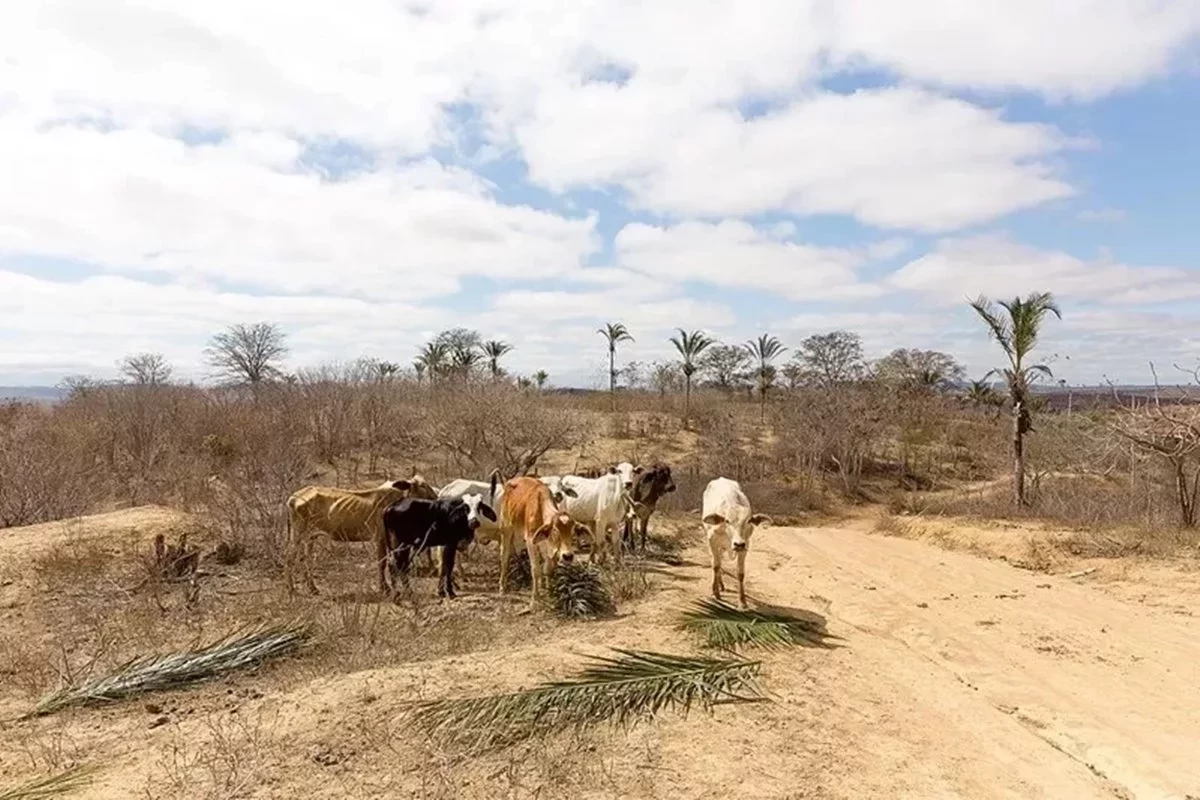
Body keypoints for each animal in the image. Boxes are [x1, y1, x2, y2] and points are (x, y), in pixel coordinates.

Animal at [283, 472, 439, 597]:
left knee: (306, 560)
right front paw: (385, 589)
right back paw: (291, 588)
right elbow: (382, 563)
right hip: (298, 535)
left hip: (310, 538)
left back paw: (313, 588)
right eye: (423, 486)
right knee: (290, 558)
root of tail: (293, 497)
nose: (437, 497)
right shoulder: (381, 538)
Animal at [496, 479, 590, 609]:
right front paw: (535, 600)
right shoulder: (531, 541)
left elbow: (549, 569)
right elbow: (536, 570)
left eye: (573, 532)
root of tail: (510, 481)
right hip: (506, 529)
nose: (568, 556)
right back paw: (502, 588)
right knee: (504, 556)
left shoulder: (552, 548)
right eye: (555, 531)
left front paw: (549, 593)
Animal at [700, 479, 772, 609]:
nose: (738, 544)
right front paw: (716, 593)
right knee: (716, 562)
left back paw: (721, 584)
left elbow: (740, 573)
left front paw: (742, 601)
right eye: (727, 520)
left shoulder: (745, 546)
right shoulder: (712, 541)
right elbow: (715, 566)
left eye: (749, 521)